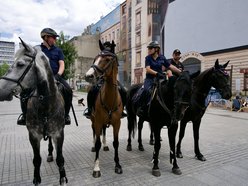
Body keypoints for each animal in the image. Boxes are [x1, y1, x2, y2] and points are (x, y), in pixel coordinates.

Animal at [85, 40, 123, 177]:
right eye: (95, 58)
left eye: (107, 59)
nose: (89, 75)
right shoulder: (98, 121)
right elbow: (97, 143)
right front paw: (96, 168)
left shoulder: (117, 123)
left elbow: (116, 143)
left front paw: (117, 165)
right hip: (93, 121)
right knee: (94, 134)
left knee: (104, 131)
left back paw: (105, 145)